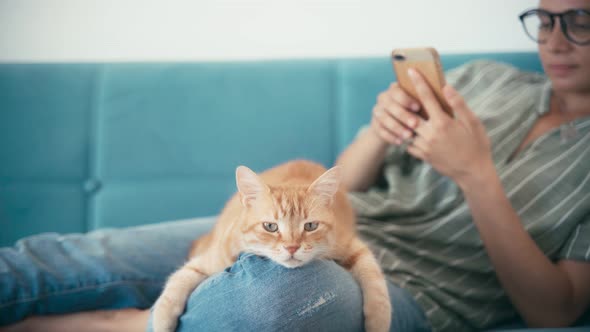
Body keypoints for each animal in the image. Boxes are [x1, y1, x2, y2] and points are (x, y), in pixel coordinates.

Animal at [153, 160, 394, 330]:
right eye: (270, 227)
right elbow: (178, 280)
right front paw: (161, 320)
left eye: (310, 226)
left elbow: (376, 285)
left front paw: (378, 322)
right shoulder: (213, 259)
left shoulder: (350, 244)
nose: (292, 247)